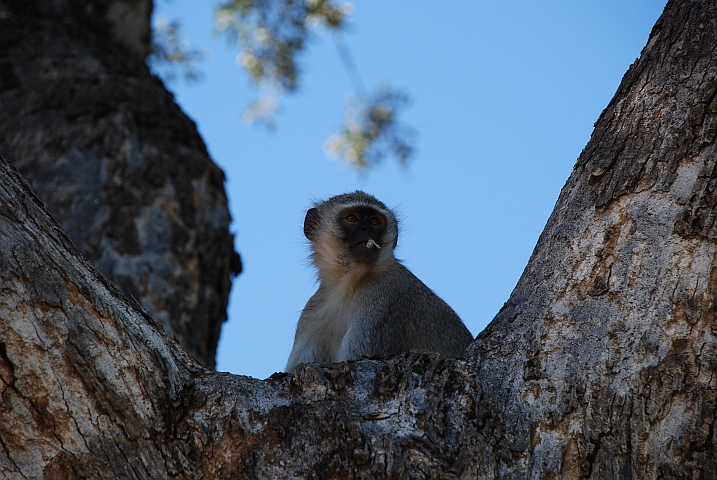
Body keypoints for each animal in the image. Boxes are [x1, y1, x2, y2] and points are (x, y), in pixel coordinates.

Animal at [285, 191, 473, 372]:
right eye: (352, 218)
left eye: (375, 221)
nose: (366, 228)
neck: (347, 284)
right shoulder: (312, 311)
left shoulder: (381, 298)